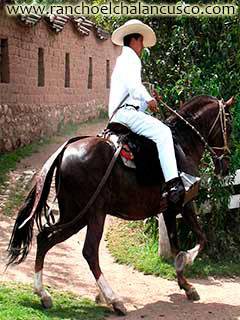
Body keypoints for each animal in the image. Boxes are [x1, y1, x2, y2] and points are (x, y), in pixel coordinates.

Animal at [7, 95, 232, 316]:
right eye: (228, 124)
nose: (225, 165)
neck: (184, 144)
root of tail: (65, 150)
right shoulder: (184, 204)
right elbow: (201, 239)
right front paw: (187, 260)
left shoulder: (168, 209)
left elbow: (176, 245)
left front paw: (186, 285)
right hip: (94, 215)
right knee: (89, 251)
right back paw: (114, 299)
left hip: (77, 216)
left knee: (44, 238)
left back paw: (43, 294)